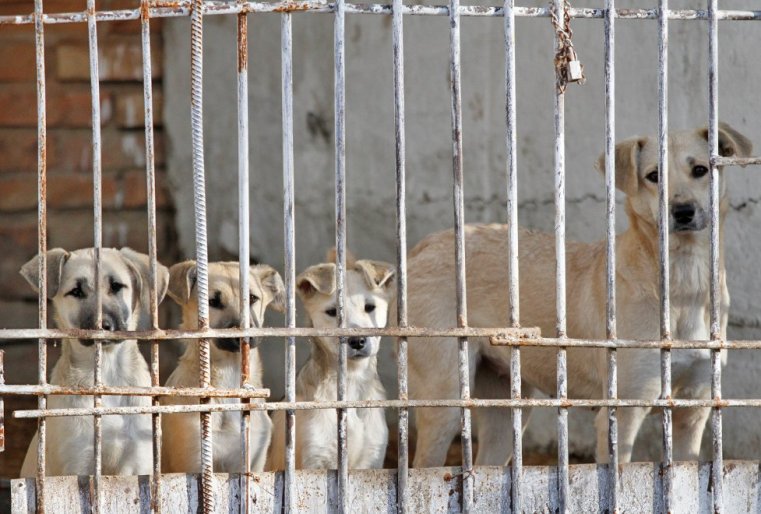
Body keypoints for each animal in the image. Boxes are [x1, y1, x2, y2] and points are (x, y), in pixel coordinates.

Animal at [19, 246, 169, 474]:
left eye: (116, 286)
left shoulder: (137, 461)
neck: (106, 370)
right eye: (76, 292)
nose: (103, 325)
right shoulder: (77, 463)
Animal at [406, 122, 752, 466]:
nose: (682, 211)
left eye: (700, 170)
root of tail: (426, 244)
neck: (684, 284)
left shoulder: (693, 413)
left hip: (508, 412)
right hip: (446, 403)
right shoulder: (622, 415)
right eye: (653, 176)